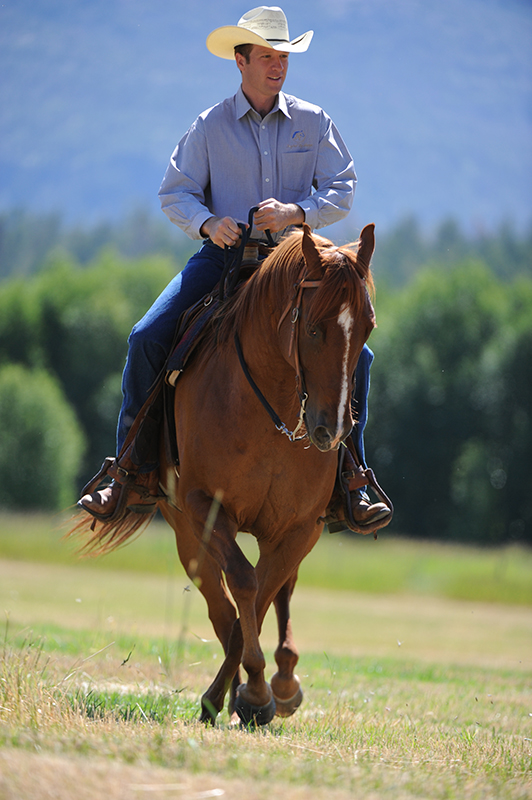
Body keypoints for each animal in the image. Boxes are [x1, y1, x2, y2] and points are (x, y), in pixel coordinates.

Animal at [72, 223, 378, 726]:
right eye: (313, 327)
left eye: (367, 326)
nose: (330, 429)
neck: (270, 411)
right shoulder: (206, 509)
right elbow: (244, 588)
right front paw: (245, 692)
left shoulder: (301, 528)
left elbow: (263, 594)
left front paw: (260, 692)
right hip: (186, 531)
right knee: (221, 605)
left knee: (272, 595)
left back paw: (282, 680)